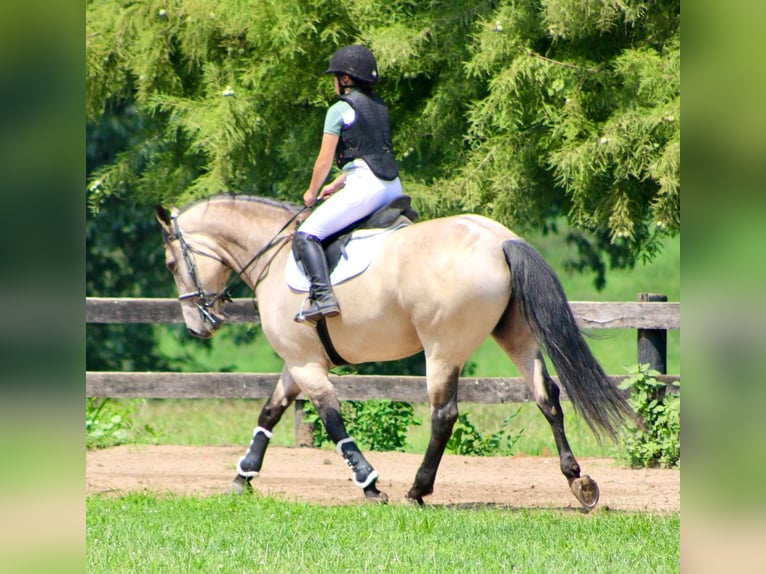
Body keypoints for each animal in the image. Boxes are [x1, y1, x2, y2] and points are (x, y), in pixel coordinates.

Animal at [156, 196, 636, 510]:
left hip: (442, 348)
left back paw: (418, 491)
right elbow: (269, 414)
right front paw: (243, 477)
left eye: (171, 264)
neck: (272, 258)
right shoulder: (297, 363)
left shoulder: (307, 365)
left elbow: (332, 420)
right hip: (516, 336)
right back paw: (578, 481)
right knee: (546, 397)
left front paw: (369, 484)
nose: (198, 326)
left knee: (444, 414)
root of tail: (498, 240)